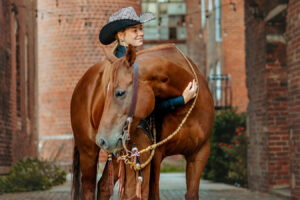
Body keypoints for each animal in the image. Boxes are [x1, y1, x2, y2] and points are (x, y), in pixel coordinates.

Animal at [96, 44, 216, 200]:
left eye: (120, 92)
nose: (102, 140)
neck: (188, 108)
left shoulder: (200, 152)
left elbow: (191, 194)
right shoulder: (156, 155)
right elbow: (153, 193)